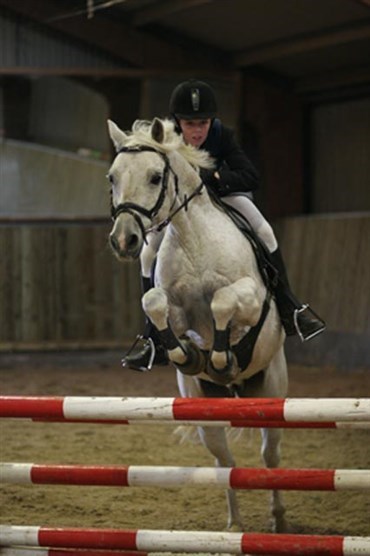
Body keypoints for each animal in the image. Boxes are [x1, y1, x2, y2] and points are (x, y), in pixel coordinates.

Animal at [107, 117, 290, 536]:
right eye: (112, 177)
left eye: (156, 176)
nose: (124, 240)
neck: (193, 240)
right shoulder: (172, 309)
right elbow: (155, 305)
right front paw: (188, 354)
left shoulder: (251, 298)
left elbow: (223, 301)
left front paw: (222, 356)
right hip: (206, 409)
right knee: (226, 465)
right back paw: (234, 526)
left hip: (271, 392)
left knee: (270, 456)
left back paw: (277, 519)